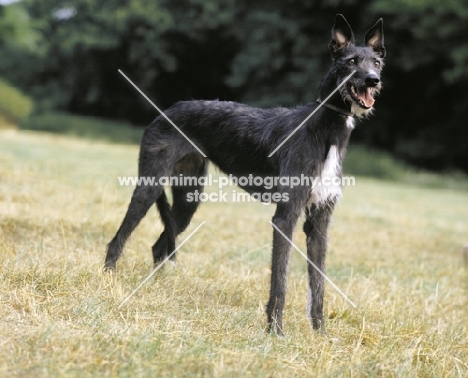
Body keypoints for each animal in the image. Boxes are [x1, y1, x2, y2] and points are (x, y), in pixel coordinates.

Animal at [105, 14, 384, 334]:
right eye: (351, 61)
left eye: (377, 62)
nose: (373, 80)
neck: (325, 130)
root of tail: (166, 111)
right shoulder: (285, 217)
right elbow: (280, 280)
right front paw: (275, 330)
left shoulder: (320, 220)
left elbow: (319, 283)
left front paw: (320, 333)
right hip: (149, 187)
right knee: (119, 239)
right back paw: (109, 279)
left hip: (188, 199)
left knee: (159, 245)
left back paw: (160, 287)